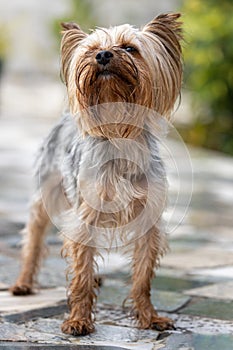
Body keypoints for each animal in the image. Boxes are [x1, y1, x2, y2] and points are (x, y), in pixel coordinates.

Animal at [10, 13, 182, 336]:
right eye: (91, 50)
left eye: (129, 48)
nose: (102, 55)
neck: (118, 133)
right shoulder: (84, 216)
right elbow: (80, 274)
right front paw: (78, 320)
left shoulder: (147, 220)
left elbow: (142, 276)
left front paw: (149, 316)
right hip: (45, 196)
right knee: (34, 239)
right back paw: (23, 283)